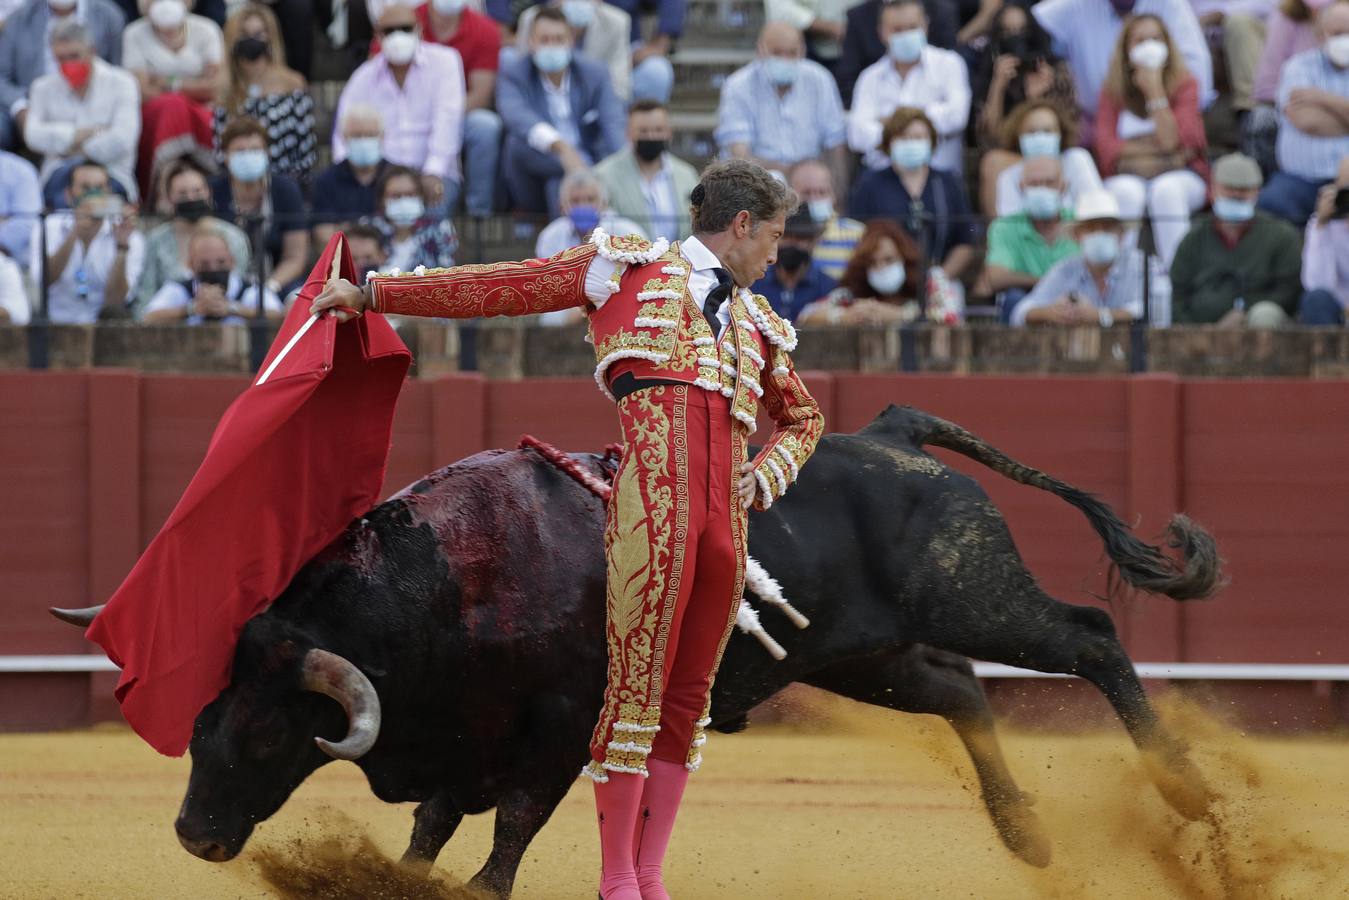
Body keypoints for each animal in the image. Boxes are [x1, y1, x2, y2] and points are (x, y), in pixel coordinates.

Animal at [52, 407, 1219, 895]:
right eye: (198, 724)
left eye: (264, 738)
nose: (197, 836)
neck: (451, 583)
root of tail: (890, 432)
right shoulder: (464, 739)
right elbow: (431, 828)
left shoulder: (556, 736)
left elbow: (506, 838)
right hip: (858, 657)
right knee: (959, 690)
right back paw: (1026, 834)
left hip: (974, 592)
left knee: (1089, 639)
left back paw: (1188, 792)